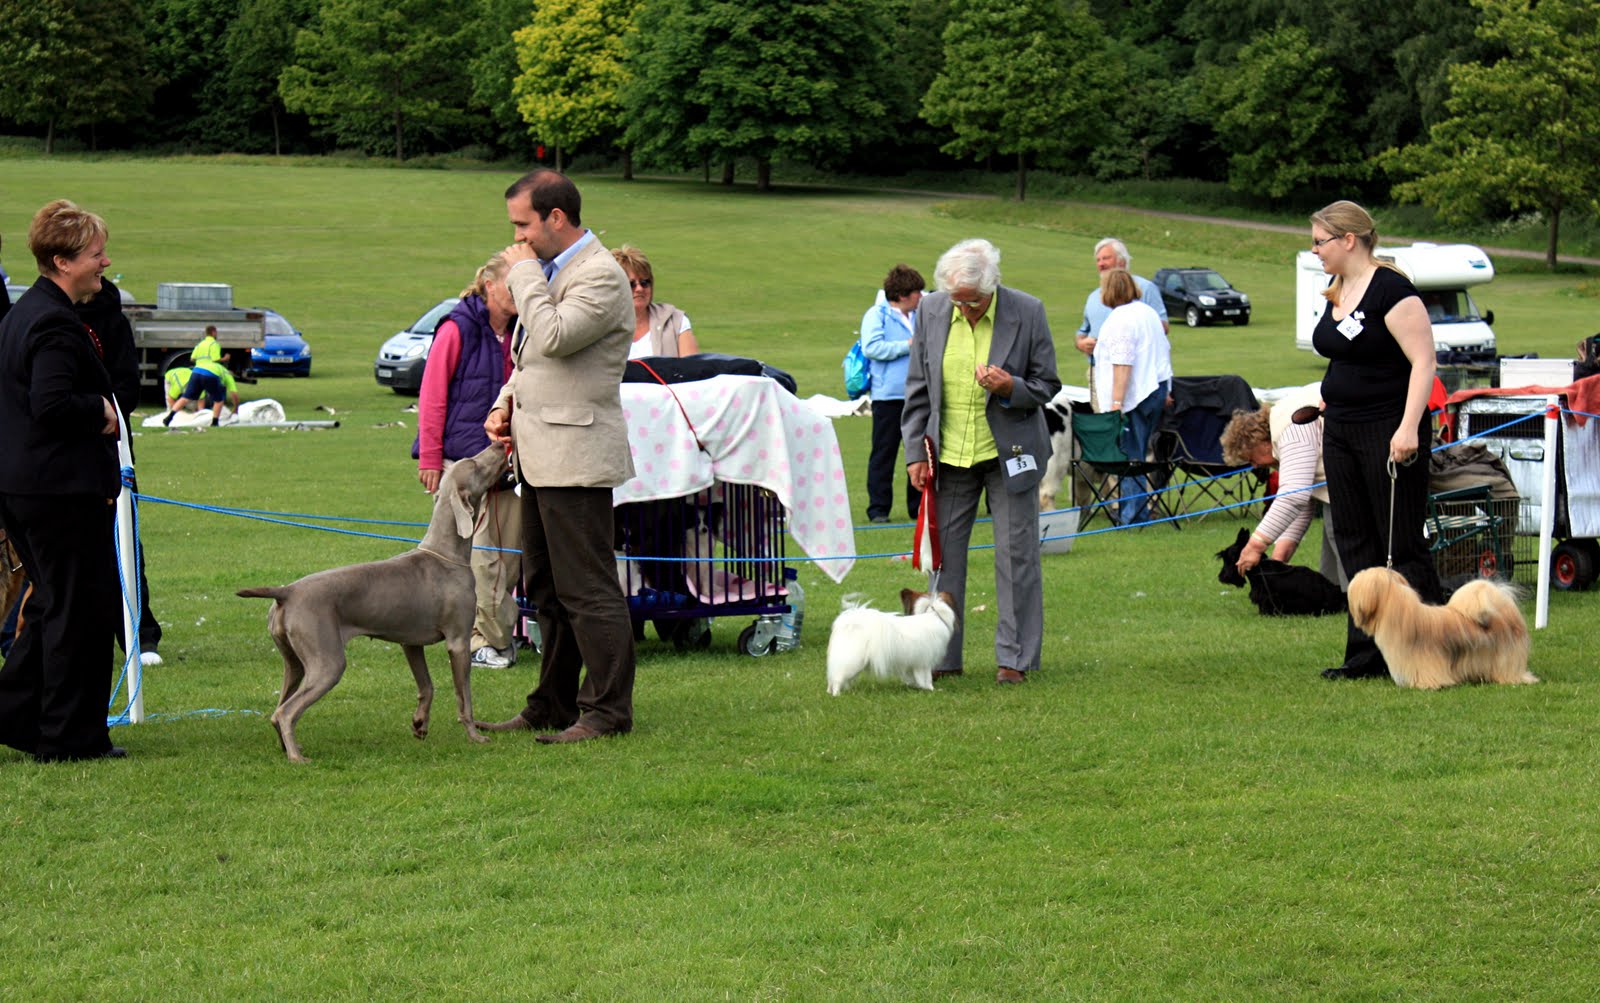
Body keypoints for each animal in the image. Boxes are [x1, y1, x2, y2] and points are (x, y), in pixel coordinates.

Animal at [236, 444, 508, 764]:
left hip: (294, 662)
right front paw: (475, 736)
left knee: (277, 709)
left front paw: (420, 724)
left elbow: (426, 686)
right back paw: (297, 758)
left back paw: (288, 747)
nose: (500, 444)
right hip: (327, 662)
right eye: (474, 465)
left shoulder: (410, 642)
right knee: (286, 711)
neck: (446, 555)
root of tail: (287, 591)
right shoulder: (459, 641)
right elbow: (464, 696)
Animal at [819, 588, 953, 697]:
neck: (932, 616)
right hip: (853, 662)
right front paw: (931, 689)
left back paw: (829, 692)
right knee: (837, 677)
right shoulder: (924, 661)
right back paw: (836, 694)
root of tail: (847, 624)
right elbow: (927, 678)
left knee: (832, 676)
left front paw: (918, 686)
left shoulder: (914, 663)